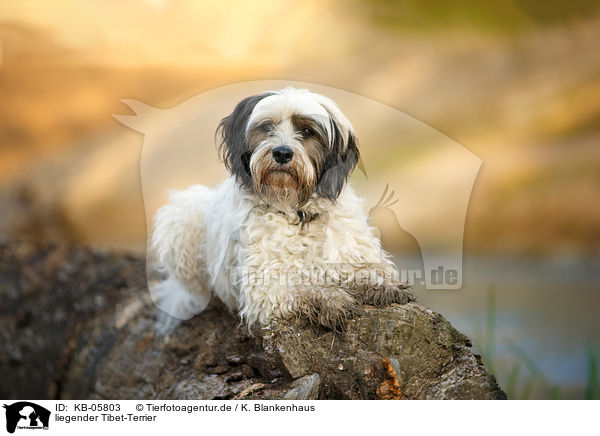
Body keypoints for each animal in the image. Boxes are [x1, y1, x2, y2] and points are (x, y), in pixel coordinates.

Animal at [151, 87, 412, 330]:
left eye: (307, 131)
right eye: (267, 127)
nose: (282, 153)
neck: (298, 214)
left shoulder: (355, 250)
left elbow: (369, 268)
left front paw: (380, 284)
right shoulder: (266, 287)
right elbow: (303, 286)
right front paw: (331, 299)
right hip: (182, 212)